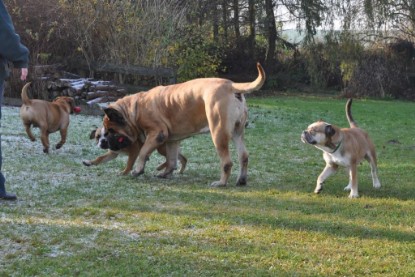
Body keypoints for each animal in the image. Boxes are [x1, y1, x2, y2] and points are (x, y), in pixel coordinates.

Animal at [102, 62, 264, 185]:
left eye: (111, 131)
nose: (105, 143)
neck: (134, 110)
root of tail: (231, 85)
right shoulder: (172, 140)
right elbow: (171, 159)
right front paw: (165, 174)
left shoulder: (157, 134)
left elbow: (143, 152)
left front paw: (137, 170)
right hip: (238, 132)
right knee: (243, 156)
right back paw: (241, 180)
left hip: (218, 133)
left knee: (227, 162)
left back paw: (221, 183)